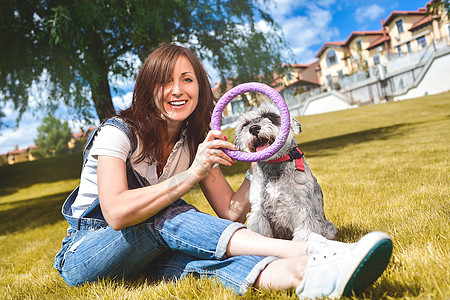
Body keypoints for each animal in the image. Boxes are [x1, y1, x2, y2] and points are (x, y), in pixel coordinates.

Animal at [236, 103, 338, 241]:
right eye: (245, 124)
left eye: (270, 116)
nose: (253, 128)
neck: (274, 166)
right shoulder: (258, 210)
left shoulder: (302, 207)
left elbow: (305, 230)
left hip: (329, 228)